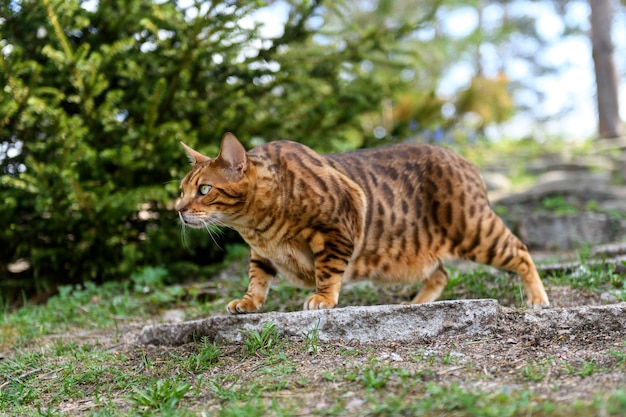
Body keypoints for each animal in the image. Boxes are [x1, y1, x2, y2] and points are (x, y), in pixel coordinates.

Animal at [174, 132, 544, 312]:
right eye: (181, 190)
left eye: (204, 189)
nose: (177, 208)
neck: (257, 227)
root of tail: (465, 160)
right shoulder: (261, 253)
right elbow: (257, 278)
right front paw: (250, 302)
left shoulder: (337, 228)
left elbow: (327, 271)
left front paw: (323, 298)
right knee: (440, 273)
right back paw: (416, 304)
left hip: (473, 229)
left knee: (520, 251)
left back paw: (538, 298)